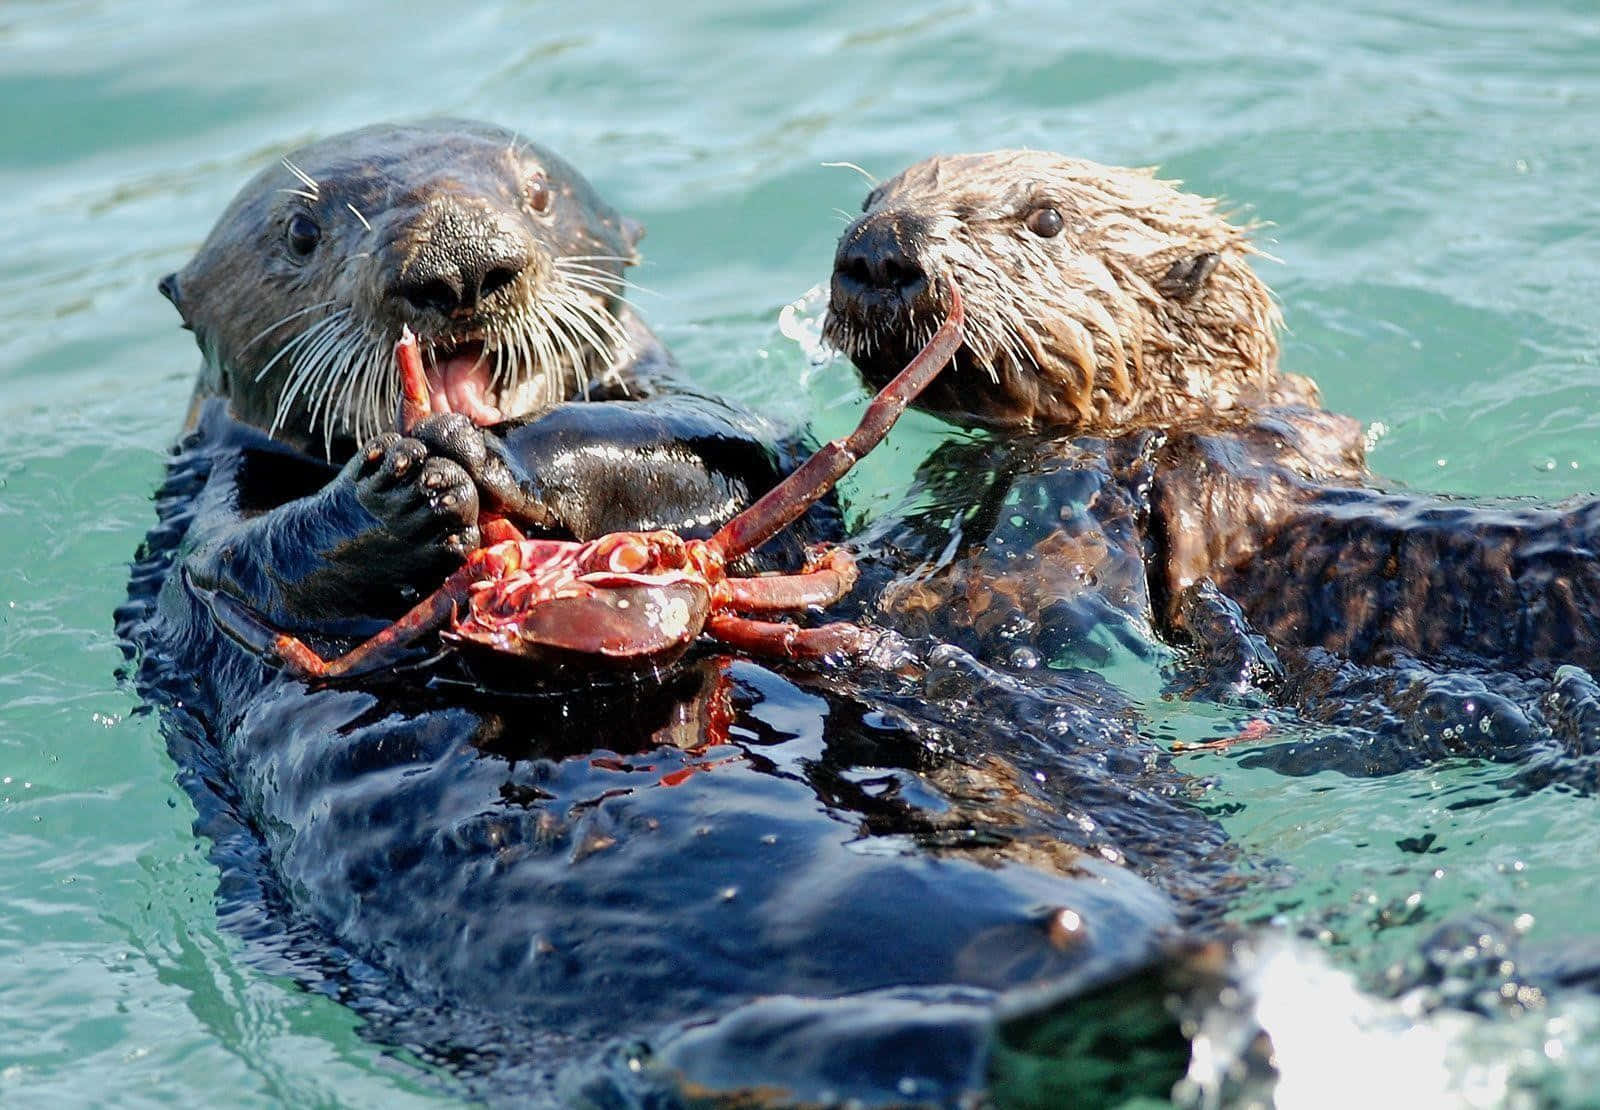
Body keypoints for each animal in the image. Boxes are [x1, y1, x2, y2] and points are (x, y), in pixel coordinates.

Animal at [825, 150, 1600, 766]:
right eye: (869, 200)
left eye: (1046, 219)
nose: (879, 244)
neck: (1192, 411)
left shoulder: (1074, 496)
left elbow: (999, 606)